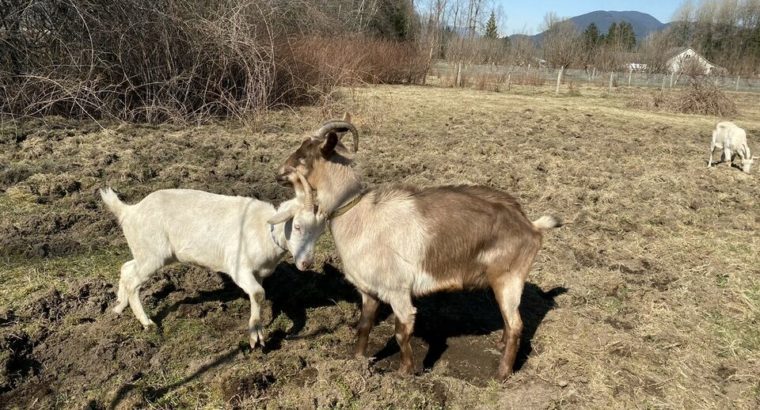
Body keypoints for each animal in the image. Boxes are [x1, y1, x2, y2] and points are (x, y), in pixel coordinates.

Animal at [101, 170, 326, 346]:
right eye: (297, 226)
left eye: (320, 233)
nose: (306, 263)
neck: (263, 228)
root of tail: (130, 211)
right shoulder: (239, 267)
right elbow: (258, 293)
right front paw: (256, 335)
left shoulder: (259, 273)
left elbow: (258, 295)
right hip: (152, 255)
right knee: (133, 281)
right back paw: (147, 323)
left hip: (145, 252)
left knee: (126, 268)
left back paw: (118, 307)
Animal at [278, 113, 560, 380]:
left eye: (304, 155)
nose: (279, 173)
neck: (360, 215)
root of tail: (530, 225)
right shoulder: (369, 291)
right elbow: (364, 326)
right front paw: (357, 361)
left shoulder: (398, 292)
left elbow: (402, 333)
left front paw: (405, 372)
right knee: (509, 322)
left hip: (508, 280)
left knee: (516, 326)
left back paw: (502, 374)